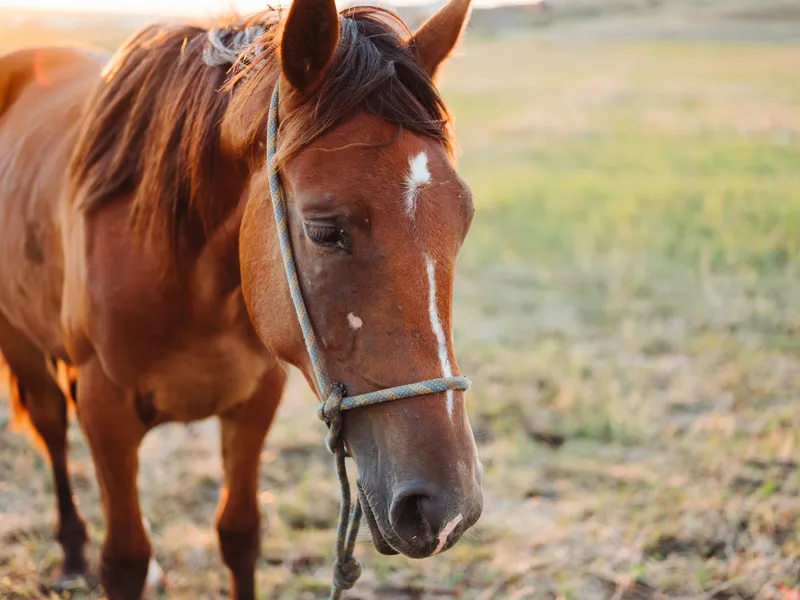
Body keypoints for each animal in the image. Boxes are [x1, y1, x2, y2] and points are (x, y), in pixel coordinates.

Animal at [0, 0, 482, 597]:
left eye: (462, 221)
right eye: (324, 230)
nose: (448, 508)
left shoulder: (256, 400)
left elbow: (239, 534)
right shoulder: (104, 412)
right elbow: (126, 560)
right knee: (49, 424)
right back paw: (70, 552)